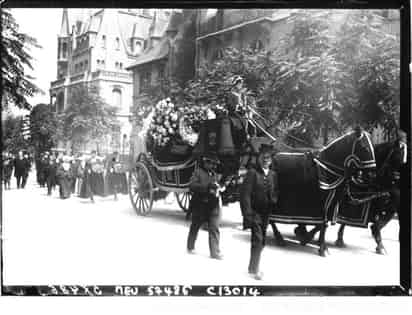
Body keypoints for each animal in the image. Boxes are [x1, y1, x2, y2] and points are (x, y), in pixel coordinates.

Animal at [268, 128, 378, 256]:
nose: (372, 175)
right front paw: (320, 247)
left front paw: (310, 240)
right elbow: (323, 223)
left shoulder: (332, 202)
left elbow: (323, 224)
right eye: (364, 147)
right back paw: (279, 237)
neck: (327, 167)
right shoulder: (322, 202)